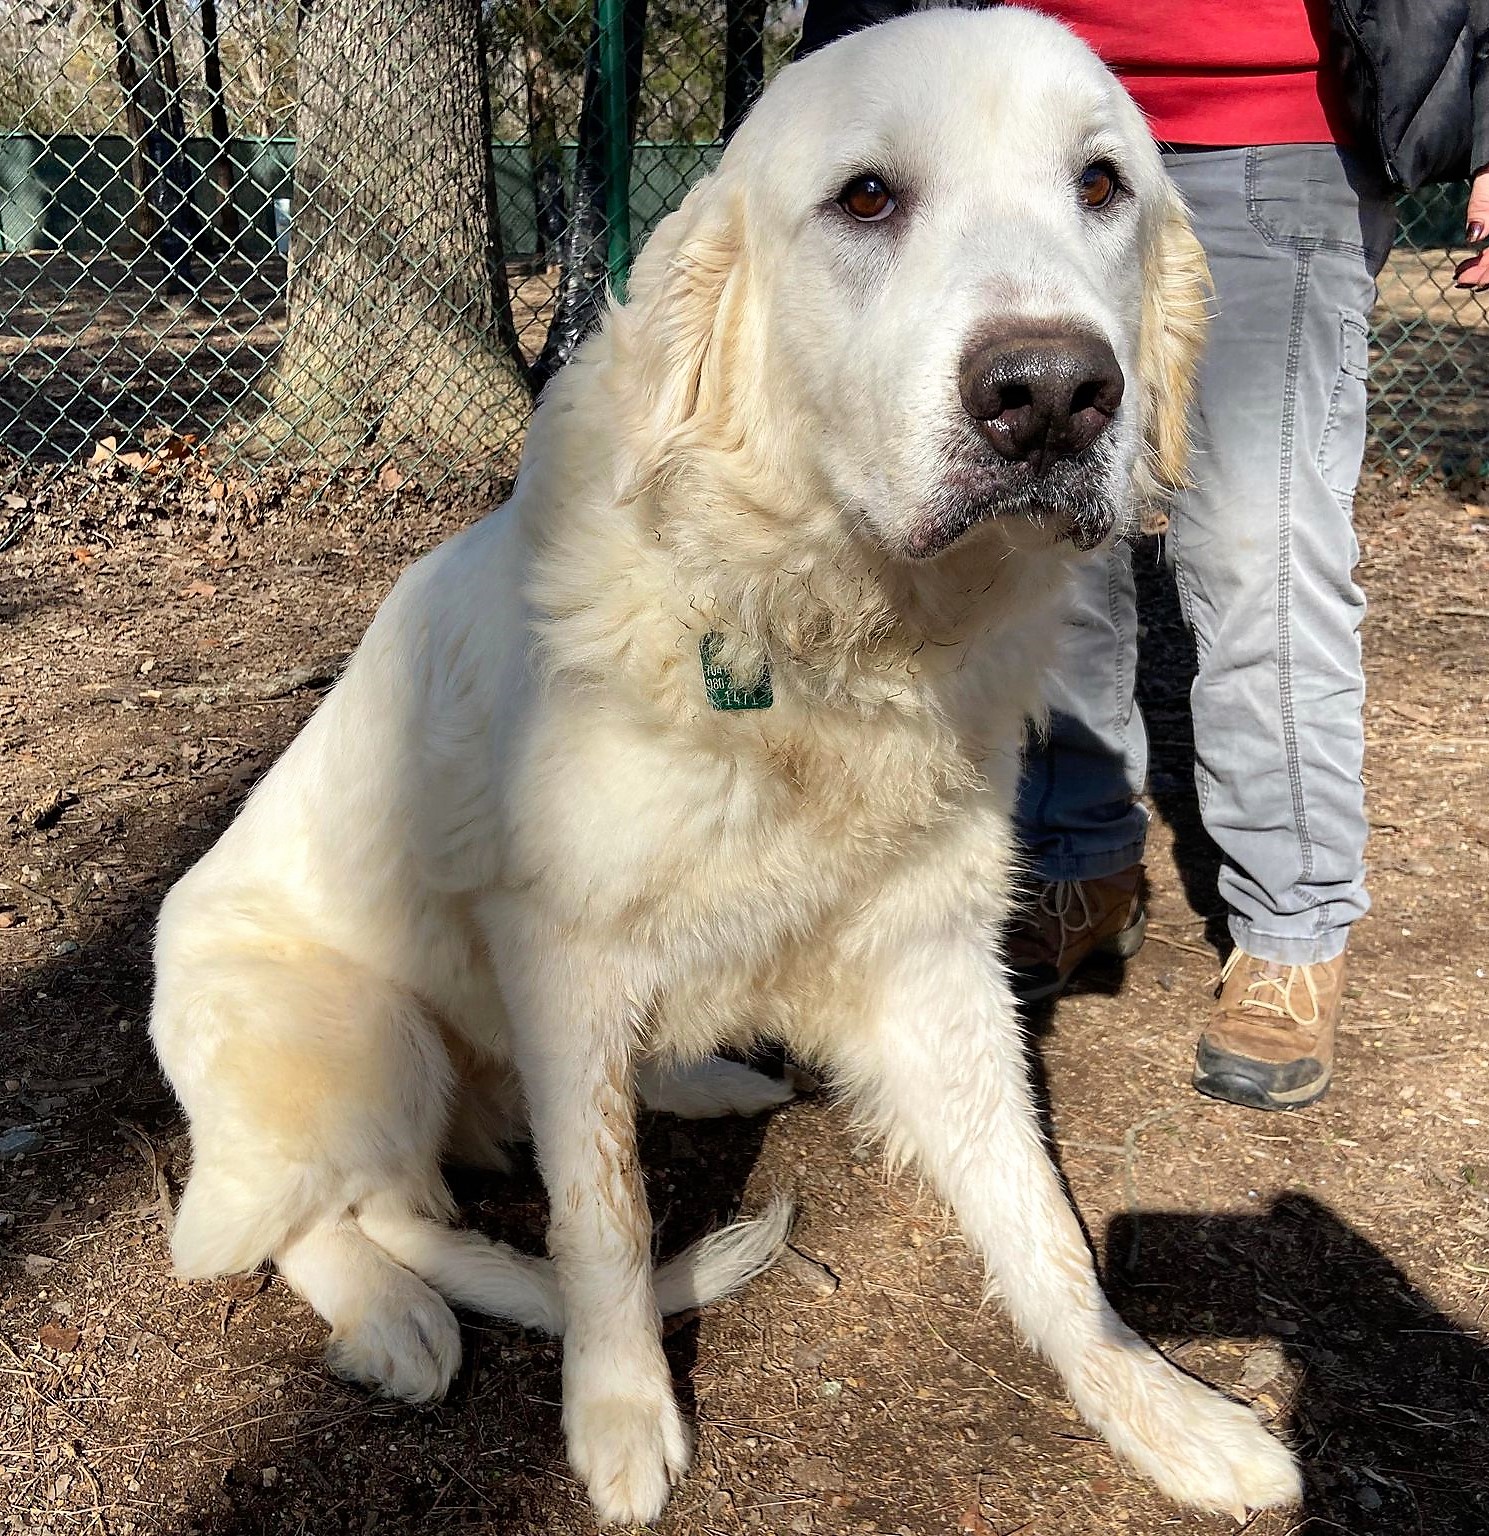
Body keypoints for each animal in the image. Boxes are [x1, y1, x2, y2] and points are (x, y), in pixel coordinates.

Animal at [145, 9, 1296, 1523]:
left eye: (1101, 185)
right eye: (865, 198)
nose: (1051, 396)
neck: (826, 635)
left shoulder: (934, 956)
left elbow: (1044, 1225)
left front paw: (1158, 1407)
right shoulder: (559, 947)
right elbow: (606, 1221)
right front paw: (621, 1415)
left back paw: (702, 1078)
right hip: (357, 1034)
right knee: (280, 1222)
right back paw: (393, 1315)